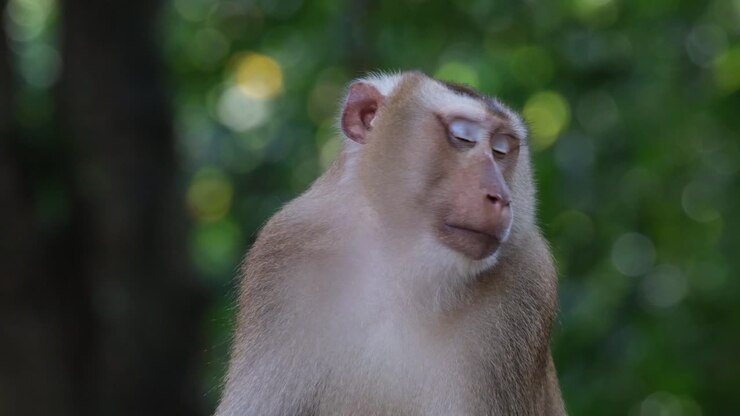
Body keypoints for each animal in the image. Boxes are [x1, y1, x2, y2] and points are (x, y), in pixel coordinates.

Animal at [215, 71, 565, 416]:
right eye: (463, 137)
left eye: (502, 149)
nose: (501, 197)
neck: (403, 269)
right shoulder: (287, 251)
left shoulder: (527, 278)